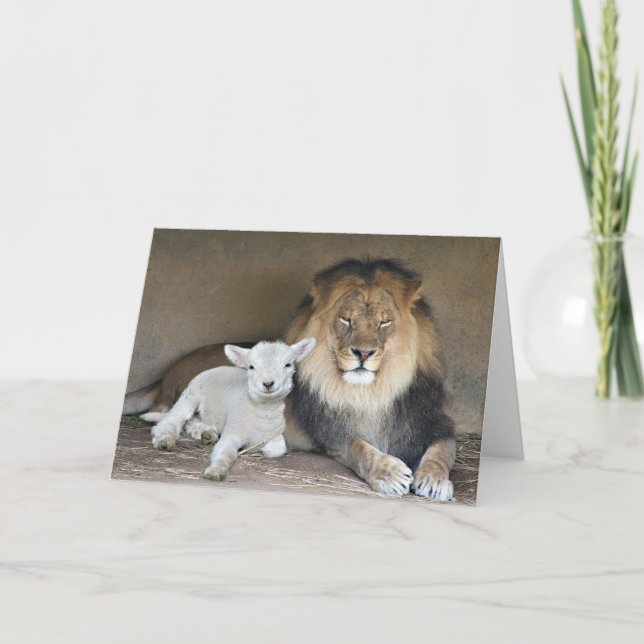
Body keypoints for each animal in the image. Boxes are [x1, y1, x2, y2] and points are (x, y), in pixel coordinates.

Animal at [124, 257, 455, 501]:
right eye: (346, 319)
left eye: (385, 321)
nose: (363, 352)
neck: (372, 392)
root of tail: (167, 371)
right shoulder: (332, 435)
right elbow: (360, 449)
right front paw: (390, 474)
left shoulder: (431, 422)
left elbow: (442, 450)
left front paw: (434, 481)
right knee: (175, 415)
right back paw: (203, 431)